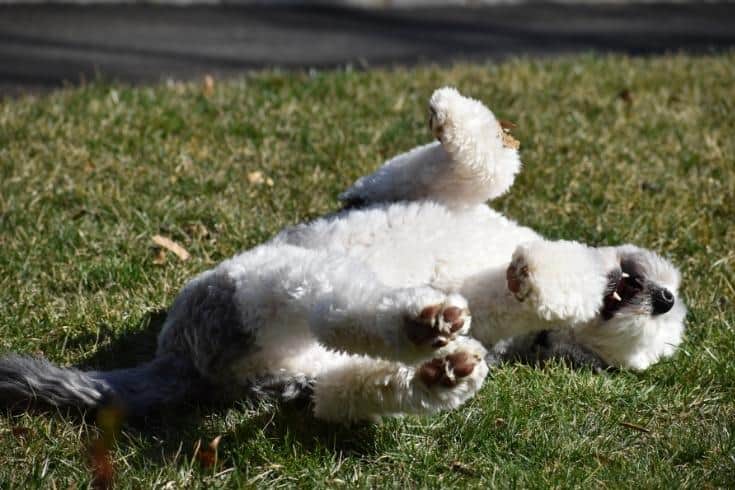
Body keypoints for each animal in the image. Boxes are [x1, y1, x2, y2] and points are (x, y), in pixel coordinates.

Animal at [0, 89, 684, 424]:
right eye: (669, 307)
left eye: (641, 341)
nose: (664, 297)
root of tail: (182, 364)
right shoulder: (398, 185)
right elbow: (479, 167)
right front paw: (454, 114)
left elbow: (532, 278)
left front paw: (542, 277)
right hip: (297, 347)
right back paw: (440, 365)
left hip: (280, 295)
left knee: (344, 326)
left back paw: (430, 344)